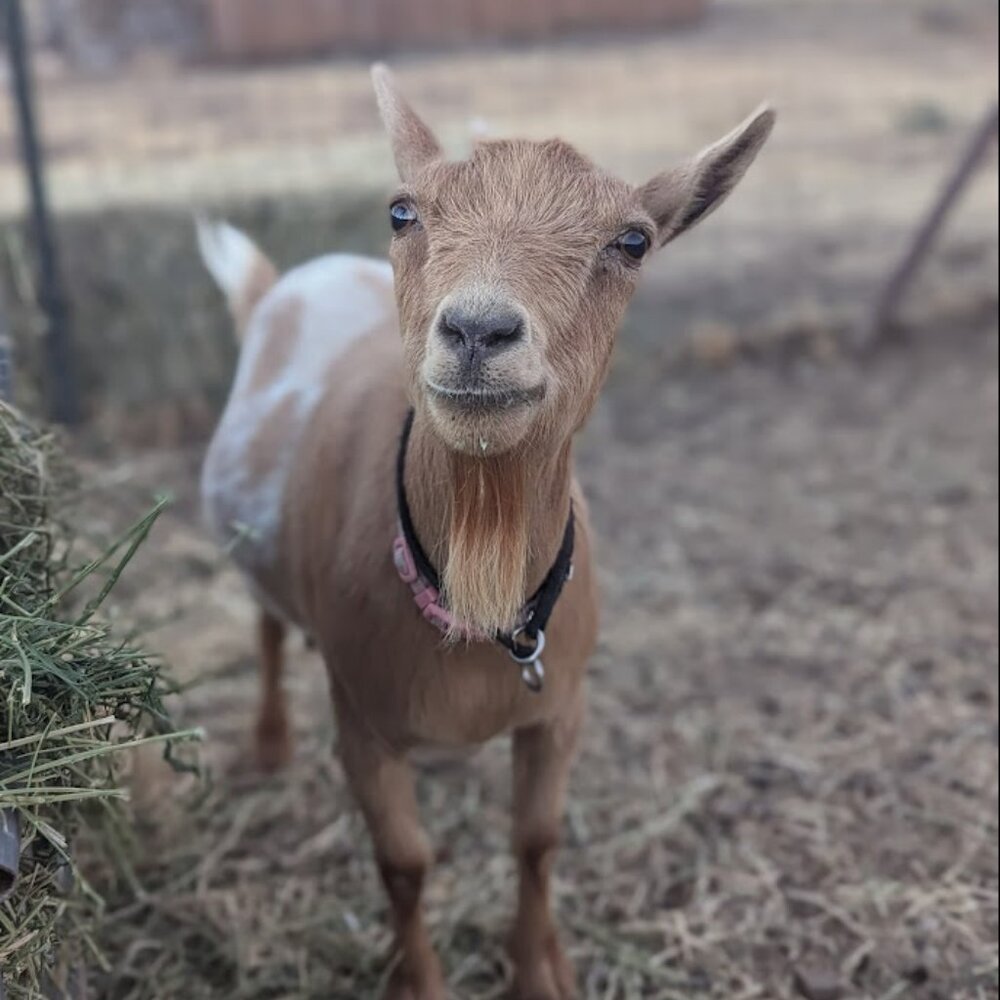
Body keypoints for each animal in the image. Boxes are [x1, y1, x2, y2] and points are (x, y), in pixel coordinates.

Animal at [198, 65, 774, 1000]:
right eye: (403, 211)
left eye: (634, 240)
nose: (477, 331)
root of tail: (288, 281)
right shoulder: (361, 721)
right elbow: (404, 863)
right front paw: (419, 981)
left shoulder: (560, 708)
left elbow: (536, 841)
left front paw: (541, 968)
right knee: (268, 628)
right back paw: (271, 744)